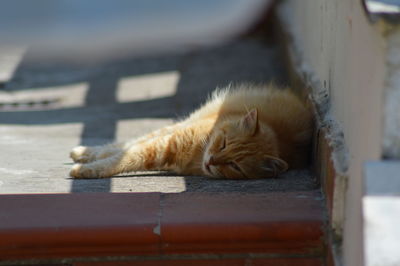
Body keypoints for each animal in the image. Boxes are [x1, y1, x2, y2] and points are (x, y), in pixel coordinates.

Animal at [69, 83, 312, 179]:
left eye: (235, 165)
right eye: (223, 143)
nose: (212, 161)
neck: (199, 152)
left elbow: (127, 157)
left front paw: (86, 168)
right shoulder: (164, 143)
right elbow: (123, 157)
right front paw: (86, 168)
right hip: (175, 127)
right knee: (124, 144)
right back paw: (83, 152)